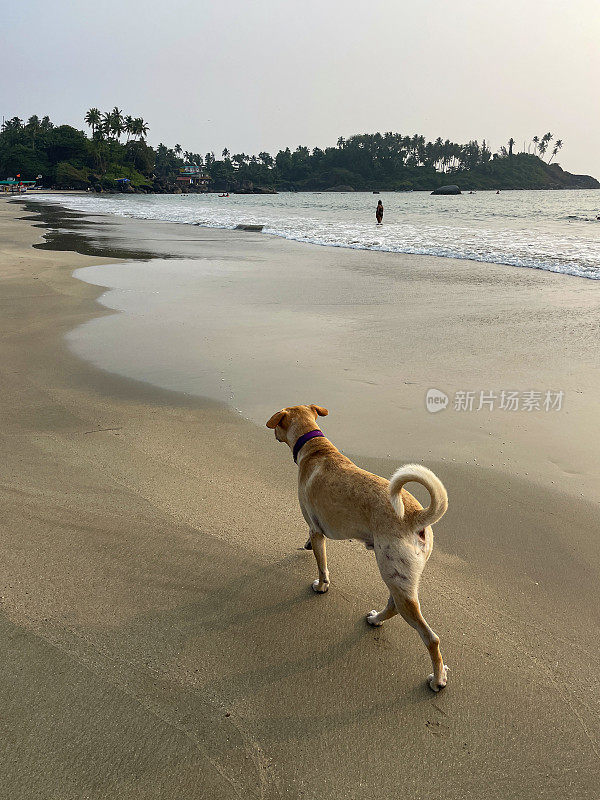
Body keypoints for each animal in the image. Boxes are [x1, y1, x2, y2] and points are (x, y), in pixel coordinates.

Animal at [268, 404, 450, 692]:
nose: (274, 434)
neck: (316, 448)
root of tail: (416, 517)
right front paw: (306, 546)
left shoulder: (316, 529)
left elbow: (322, 565)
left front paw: (321, 586)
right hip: (399, 577)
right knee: (394, 604)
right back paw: (376, 620)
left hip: (393, 570)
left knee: (430, 637)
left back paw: (438, 678)